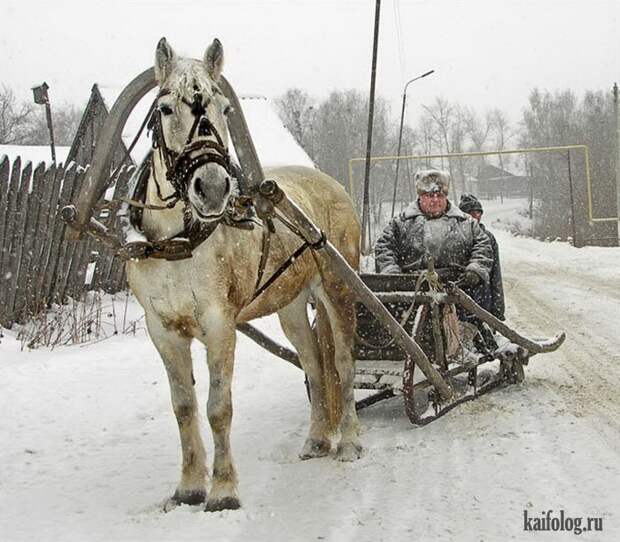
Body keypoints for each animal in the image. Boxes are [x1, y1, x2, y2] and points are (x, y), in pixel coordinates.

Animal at [123, 38, 360, 516]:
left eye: (224, 108)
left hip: (338, 288)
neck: (178, 240)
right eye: (165, 108)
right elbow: (183, 406)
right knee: (314, 365)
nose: (213, 187)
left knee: (343, 363)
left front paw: (223, 491)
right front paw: (188, 487)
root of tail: (330, 183)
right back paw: (316, 439)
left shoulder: (219, 324)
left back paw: (348, 441)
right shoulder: (162, 329)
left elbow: (218, 407)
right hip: (292, 305)